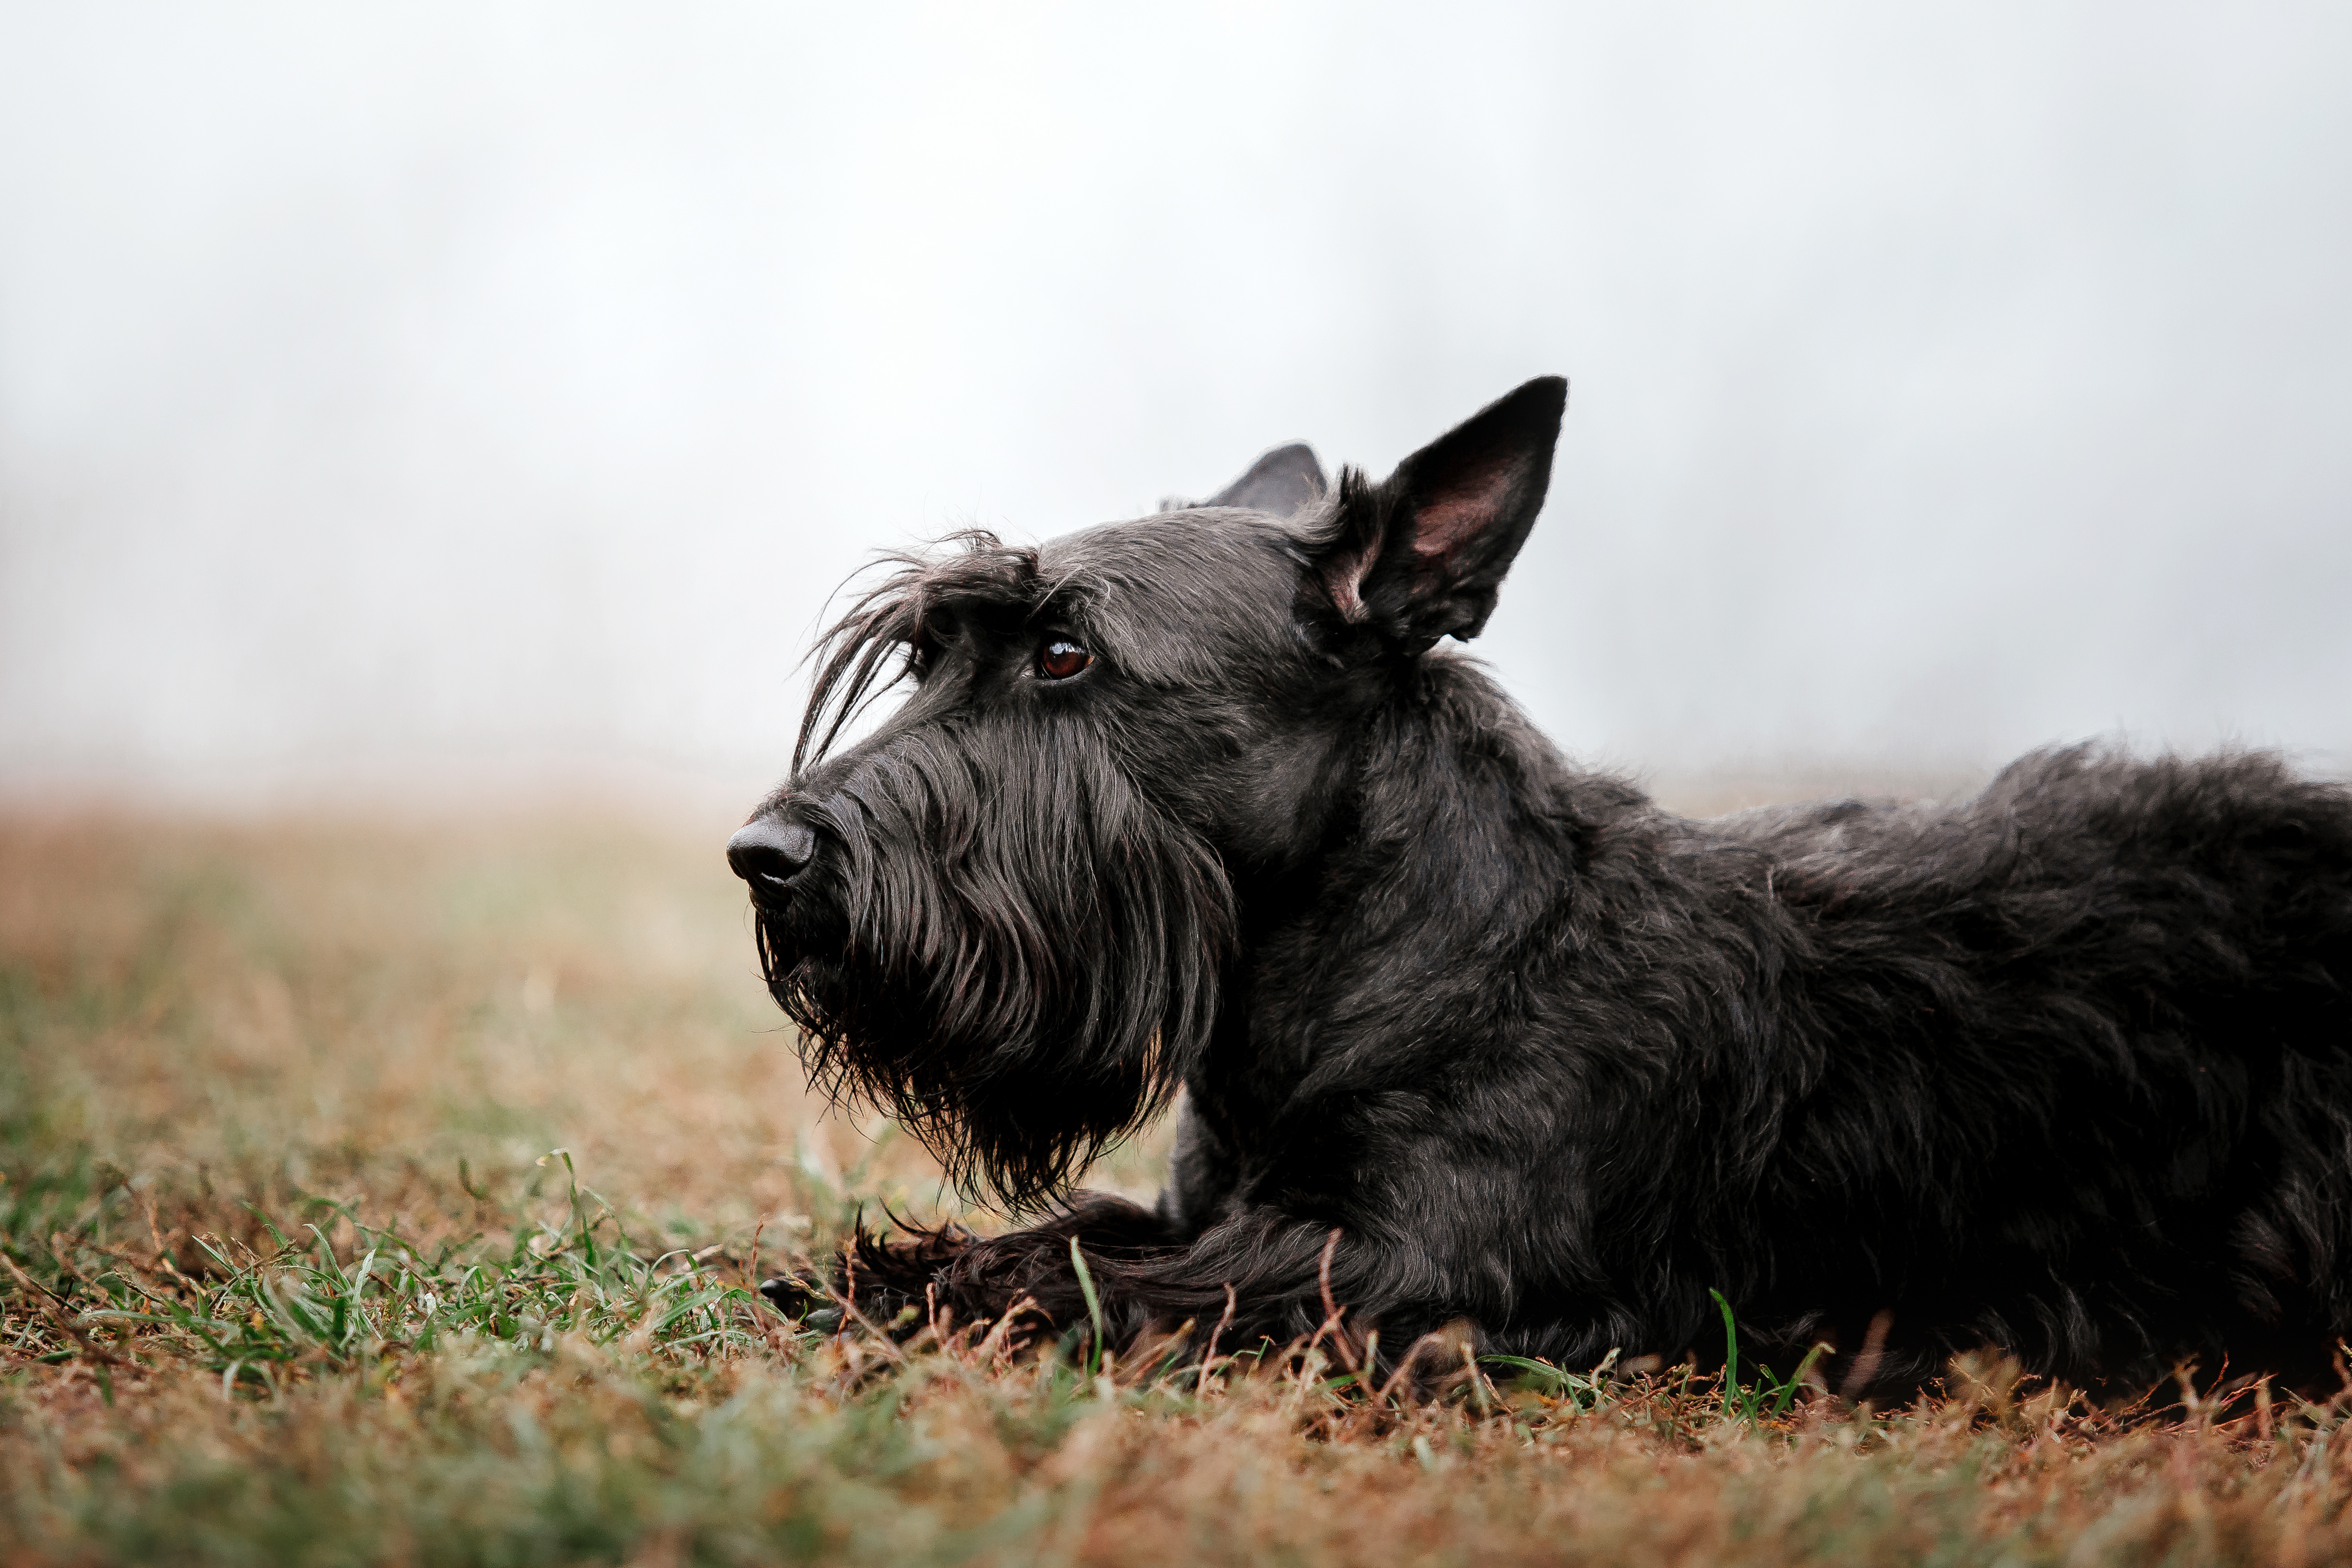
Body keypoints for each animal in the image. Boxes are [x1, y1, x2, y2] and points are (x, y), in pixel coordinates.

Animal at [733, 383, 2352, 1401]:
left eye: (1066, 653)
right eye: (930, 653)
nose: (766, 856)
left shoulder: (1409, 1271)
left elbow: (1104, 1281)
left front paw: (906, 1293)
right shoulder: (1218, 1203)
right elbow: (1076, 1229)